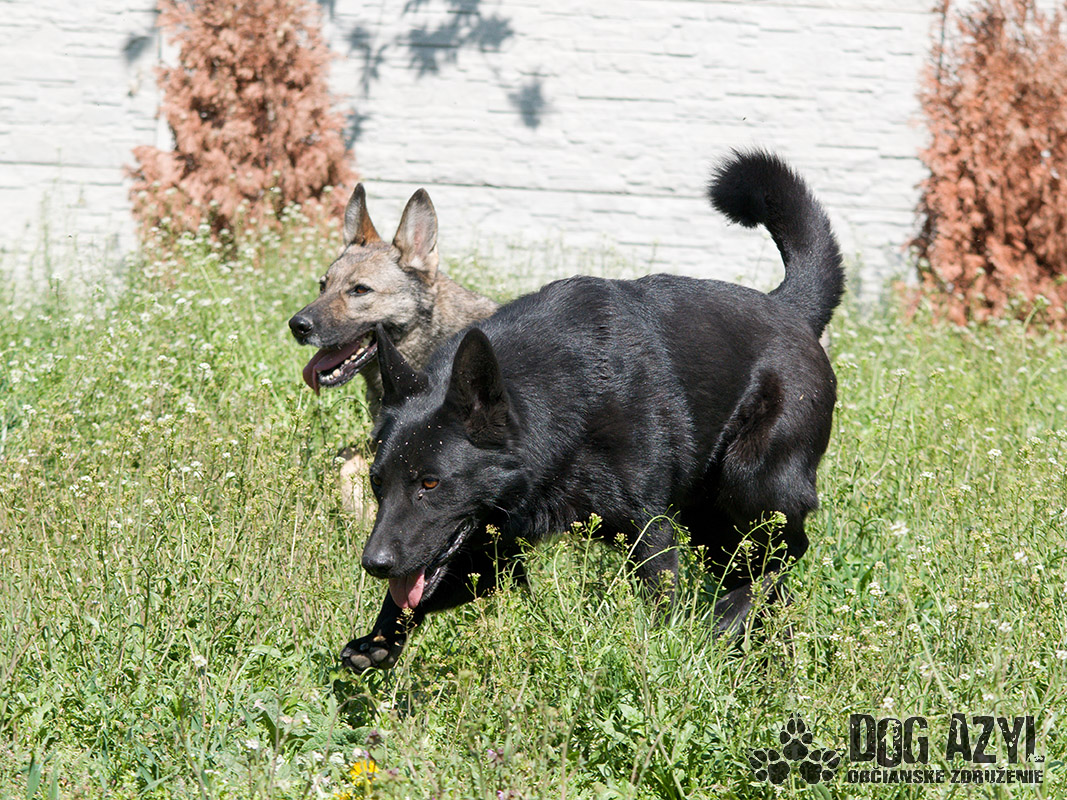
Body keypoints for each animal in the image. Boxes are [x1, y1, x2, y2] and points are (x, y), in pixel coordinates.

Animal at [340, 150, 844, 672]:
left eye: (431, 484)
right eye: (377, 483)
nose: (374, 564)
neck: (564, 407)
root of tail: (789, 308)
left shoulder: (649, 531)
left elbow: (660, 604)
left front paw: (663, 660)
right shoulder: (488, 543)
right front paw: (379, 639)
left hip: (747, 484)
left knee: (786, 554)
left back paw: (727, 620)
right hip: (712, 520)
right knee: (763, 574)